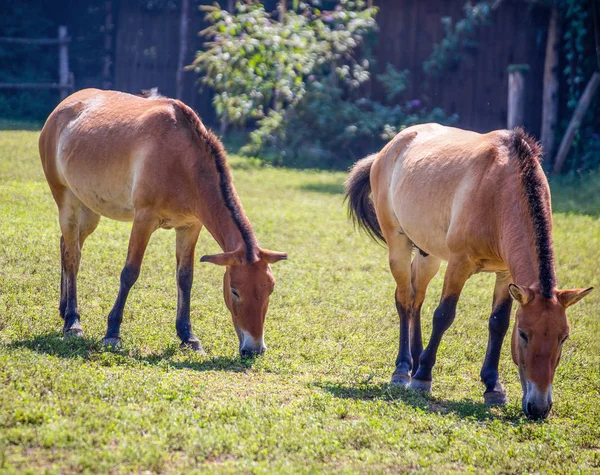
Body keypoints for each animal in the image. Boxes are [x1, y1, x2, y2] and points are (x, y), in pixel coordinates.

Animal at [38, 89, 288, 356]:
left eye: (270, 289)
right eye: (235, 291)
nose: (255, 348)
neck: (184, 162)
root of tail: (62, 107)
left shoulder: (190, 226)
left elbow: (185, 278)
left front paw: (188, 337)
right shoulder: (144, 219)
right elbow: (130, 272)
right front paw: (112, 333)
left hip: (89, 212)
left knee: (68, 246)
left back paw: (64, 309)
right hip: (67, 202)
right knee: (73, 257)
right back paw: (73, 322)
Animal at [344, 123, 592, 420]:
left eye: (563, 337)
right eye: (524, 334)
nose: (539, 407)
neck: (499, 192)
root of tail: (390, 147)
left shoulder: (506, 275)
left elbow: (498, 323)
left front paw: (493, 386)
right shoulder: (459, 264)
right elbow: (443, 315)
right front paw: (423, 377)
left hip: (428, 255)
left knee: (416, 299)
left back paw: (415, 359)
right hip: (398, 245)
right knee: (404, 300)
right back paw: (404, 369)